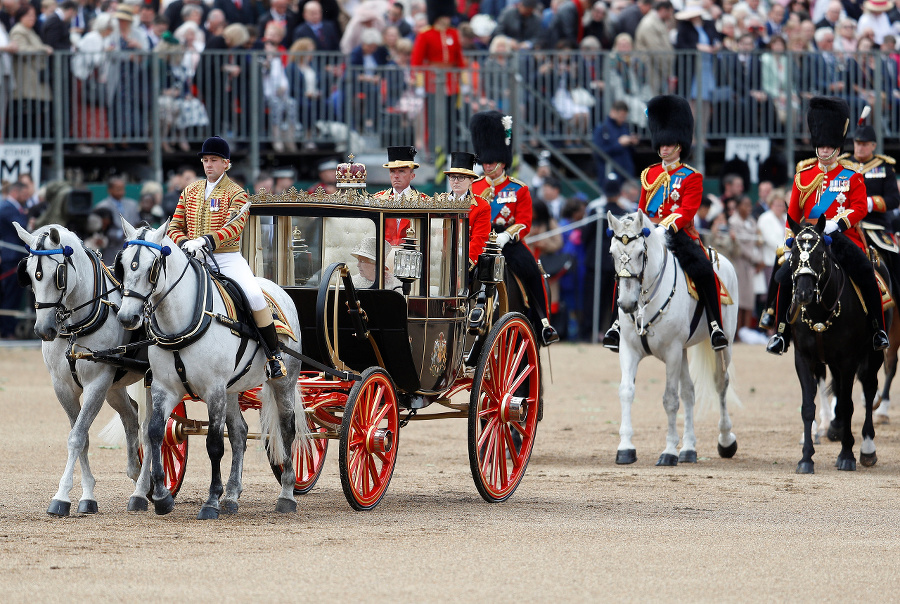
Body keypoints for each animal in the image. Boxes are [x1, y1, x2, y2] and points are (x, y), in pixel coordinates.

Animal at [13, 224, 144, 516]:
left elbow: (76, 437)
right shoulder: (63, 387)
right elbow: (81, 437)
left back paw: (143, 489)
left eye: (59, 275)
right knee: (132, 416)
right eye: (28, 273)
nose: (43, 330)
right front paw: (87, 497)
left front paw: (61, 496)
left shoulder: (97, 383)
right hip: (114, 387)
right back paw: (137, 477)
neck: (75, 327)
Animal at [116, 219, 304, 516]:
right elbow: (155, 432)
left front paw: (211, 500)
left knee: (287, 428)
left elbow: (214, 444)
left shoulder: (213, 390)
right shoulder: (164, 388)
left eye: (152, 267)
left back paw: (286, 494)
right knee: (239, 433)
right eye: (122, 264)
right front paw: (162, 497)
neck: (180, 324)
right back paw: (232, 496)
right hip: (232, 389)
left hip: (283, 382)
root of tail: (279, 291)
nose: (127, 317)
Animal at [604, 212, 740, 468]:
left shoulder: (672, 351)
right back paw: (688, 449)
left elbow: (670, 399)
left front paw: (668, 451)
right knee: (689, 393)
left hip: (723, 344)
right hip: (684, 351)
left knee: (721, 383)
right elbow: (626, 391)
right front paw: (625, 447)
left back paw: (726, 441)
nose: (626, 304)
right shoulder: (629, 349)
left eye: (641, 253)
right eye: (612, 253)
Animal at [792, 215, 884, 474]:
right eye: (793, 252)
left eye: (819, 253)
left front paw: (847, 454)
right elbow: (807, 406)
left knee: (869, 389)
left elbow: (847, 404)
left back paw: (867, 448)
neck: (820, 312)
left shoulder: (848, 360)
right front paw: (806, 458)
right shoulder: (803, 358)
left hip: (873, 355)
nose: (803, 293)